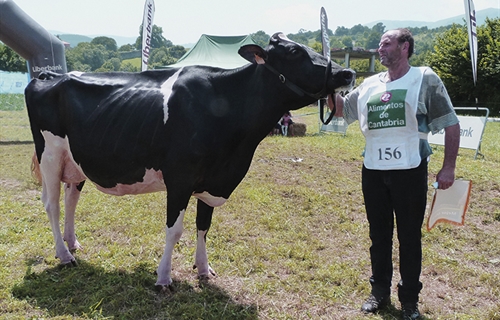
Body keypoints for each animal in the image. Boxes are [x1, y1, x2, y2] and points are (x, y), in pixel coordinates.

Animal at [25, 32, 356, 290]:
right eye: (294, 52)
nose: (347, 73)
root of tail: (50, 76)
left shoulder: (211, 180)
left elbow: (204, 226)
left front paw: (204, 269)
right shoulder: (180, 178)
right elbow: (175, 229)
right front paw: (163, 278)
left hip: (75, 161)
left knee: (71, 199)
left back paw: (73, 243)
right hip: (50, 154)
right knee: (52, 204)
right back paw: (64, 255)